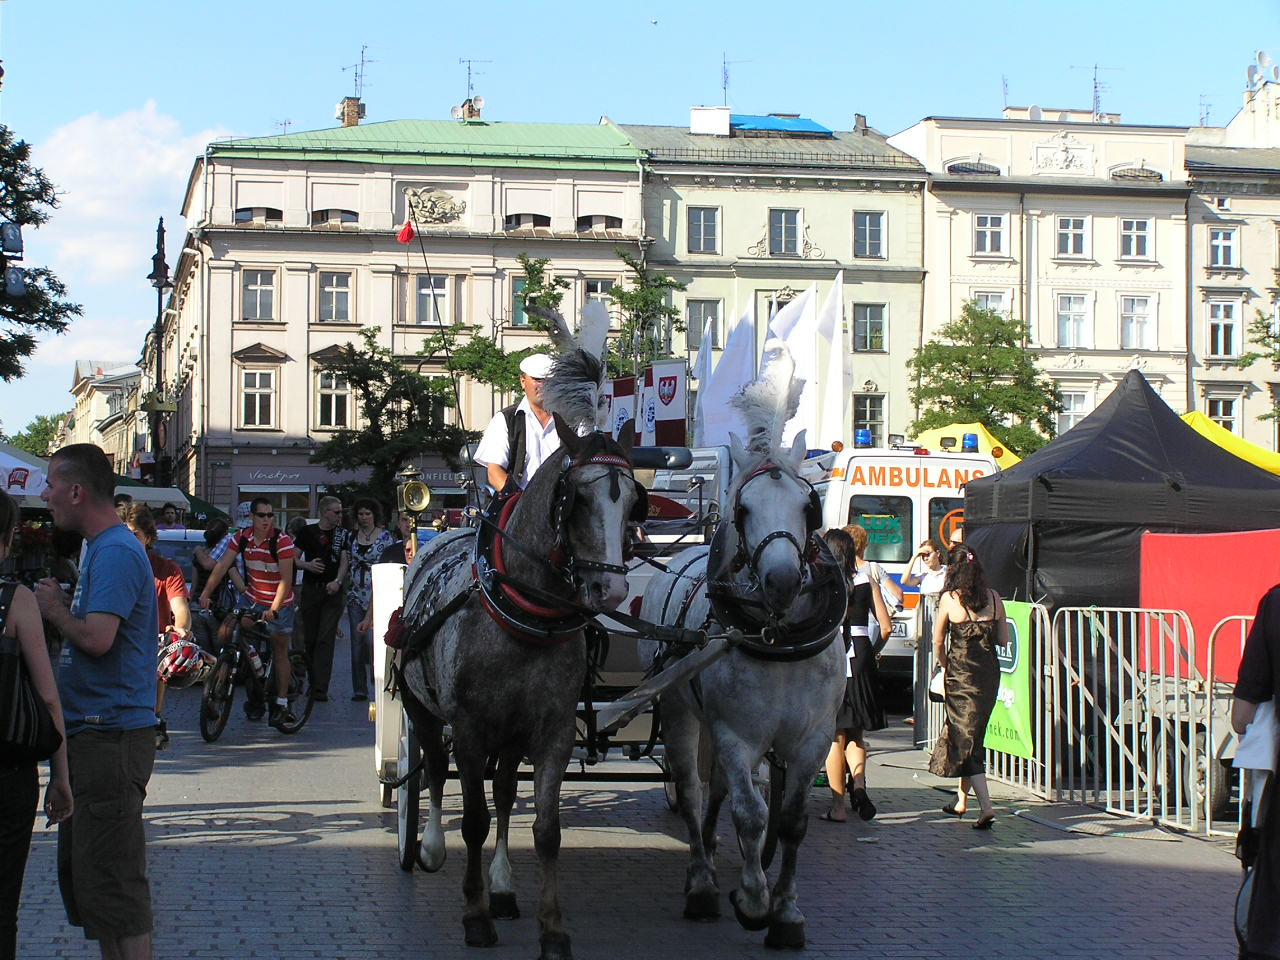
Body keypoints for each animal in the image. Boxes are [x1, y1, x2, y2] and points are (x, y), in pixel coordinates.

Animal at [645, 368, 844, 957]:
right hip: (681, 710)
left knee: (714, 791)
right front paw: (753, 900)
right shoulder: (736, 733)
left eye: (809, 507)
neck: (776, 637)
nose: (780, 581)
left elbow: (791, 820)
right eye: (743, 509)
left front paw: (787, 912)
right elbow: (752, 813)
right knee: (692, 790)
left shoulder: (812, 737)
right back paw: (701, 882)